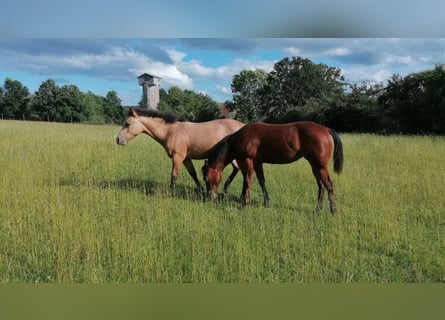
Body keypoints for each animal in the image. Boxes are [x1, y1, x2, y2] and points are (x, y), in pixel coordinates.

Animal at [115, 107, 243, 192]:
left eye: (127, 124)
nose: (118, 139)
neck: (171, 131)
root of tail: (242, 126)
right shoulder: (186, 159)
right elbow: (193, 174)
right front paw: (201, 190)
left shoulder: (177, 157)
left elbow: (174, 175)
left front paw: (171, 192)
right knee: (236, 168)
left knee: (237, 168)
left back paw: (226, 188)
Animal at [201, 121, 344, 214]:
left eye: (206, 178)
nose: (210, 197)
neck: (240, 138)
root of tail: (326, 129)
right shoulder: (257, 163)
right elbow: (261, 181)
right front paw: (266, 202)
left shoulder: (247, 161)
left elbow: (247, 181)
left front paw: (244, 203)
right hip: (314, 165)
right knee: (321, 185)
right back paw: (318, 209)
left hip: (320, 166)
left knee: (328, 184)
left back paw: (333, 210)